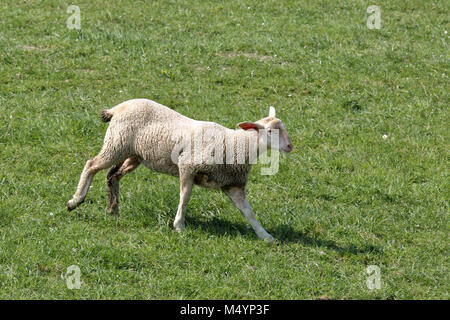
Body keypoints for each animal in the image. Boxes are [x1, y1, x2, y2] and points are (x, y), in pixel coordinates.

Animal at [66, 99, 292, 241]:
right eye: (270, 131)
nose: (290, 146)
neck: (236, 143)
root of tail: (117, 109)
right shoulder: (187, 165)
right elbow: (185, 197)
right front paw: (179, 225)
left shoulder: (233, 185)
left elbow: (249, 213)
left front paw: (265, 236)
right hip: (116, 143)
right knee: (91, 165)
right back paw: (75, 200)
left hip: (134, 154)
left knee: (112, 175)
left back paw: (113, 209)